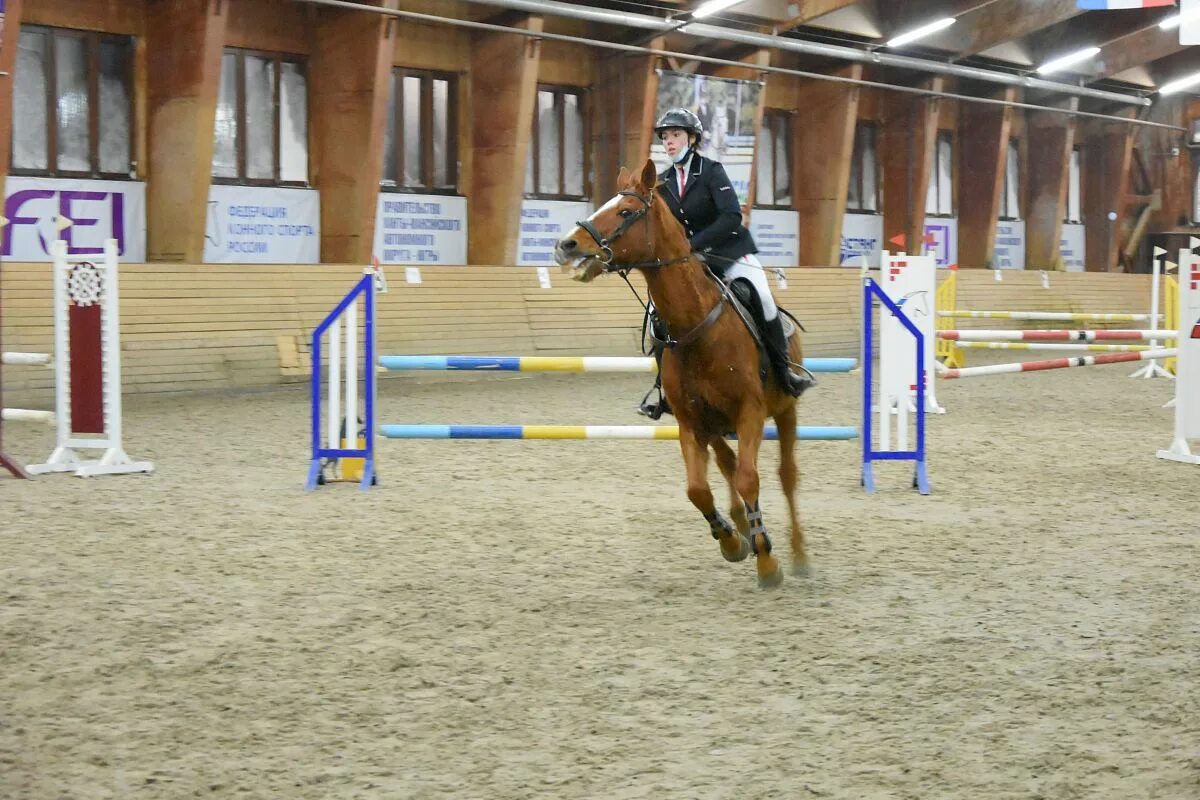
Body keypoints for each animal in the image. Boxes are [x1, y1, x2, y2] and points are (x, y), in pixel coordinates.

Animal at [552, 160, 806, 587]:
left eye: (625, 212)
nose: (567, 246)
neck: (695, 325)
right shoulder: (689, 421)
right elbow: (698, 490)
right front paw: (732, 541)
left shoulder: (750, 411)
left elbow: (750, 478)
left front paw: (768, 563)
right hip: (714, 425)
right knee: (727, 463)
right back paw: (743, 527)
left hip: (785, 409)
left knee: (786, 475)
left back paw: (799, 552)